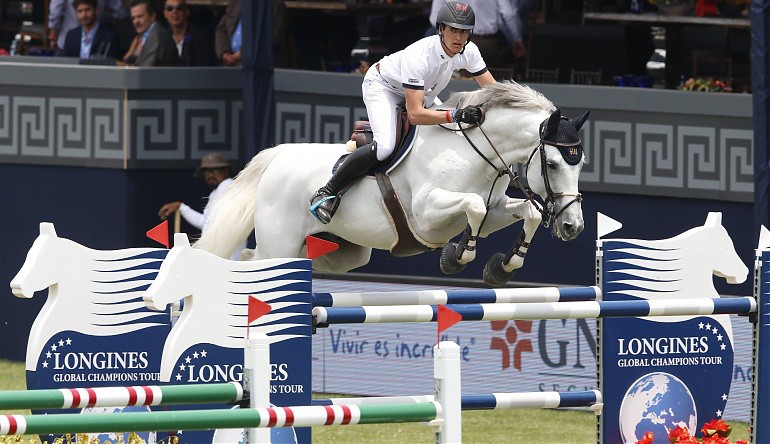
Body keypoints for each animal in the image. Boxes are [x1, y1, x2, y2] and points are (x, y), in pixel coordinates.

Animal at [194, 82, 588, 286]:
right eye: (552, 164)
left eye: (580, 163)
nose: (573, 227)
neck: (470, 150)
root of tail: (278, 157)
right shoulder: (428, 214)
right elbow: (472, 208)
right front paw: (456, 258)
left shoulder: (493, 211)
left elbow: (527, 213)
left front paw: (502, 267)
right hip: (281, 241)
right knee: (258, 263)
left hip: (343, 253)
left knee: (259, 260)